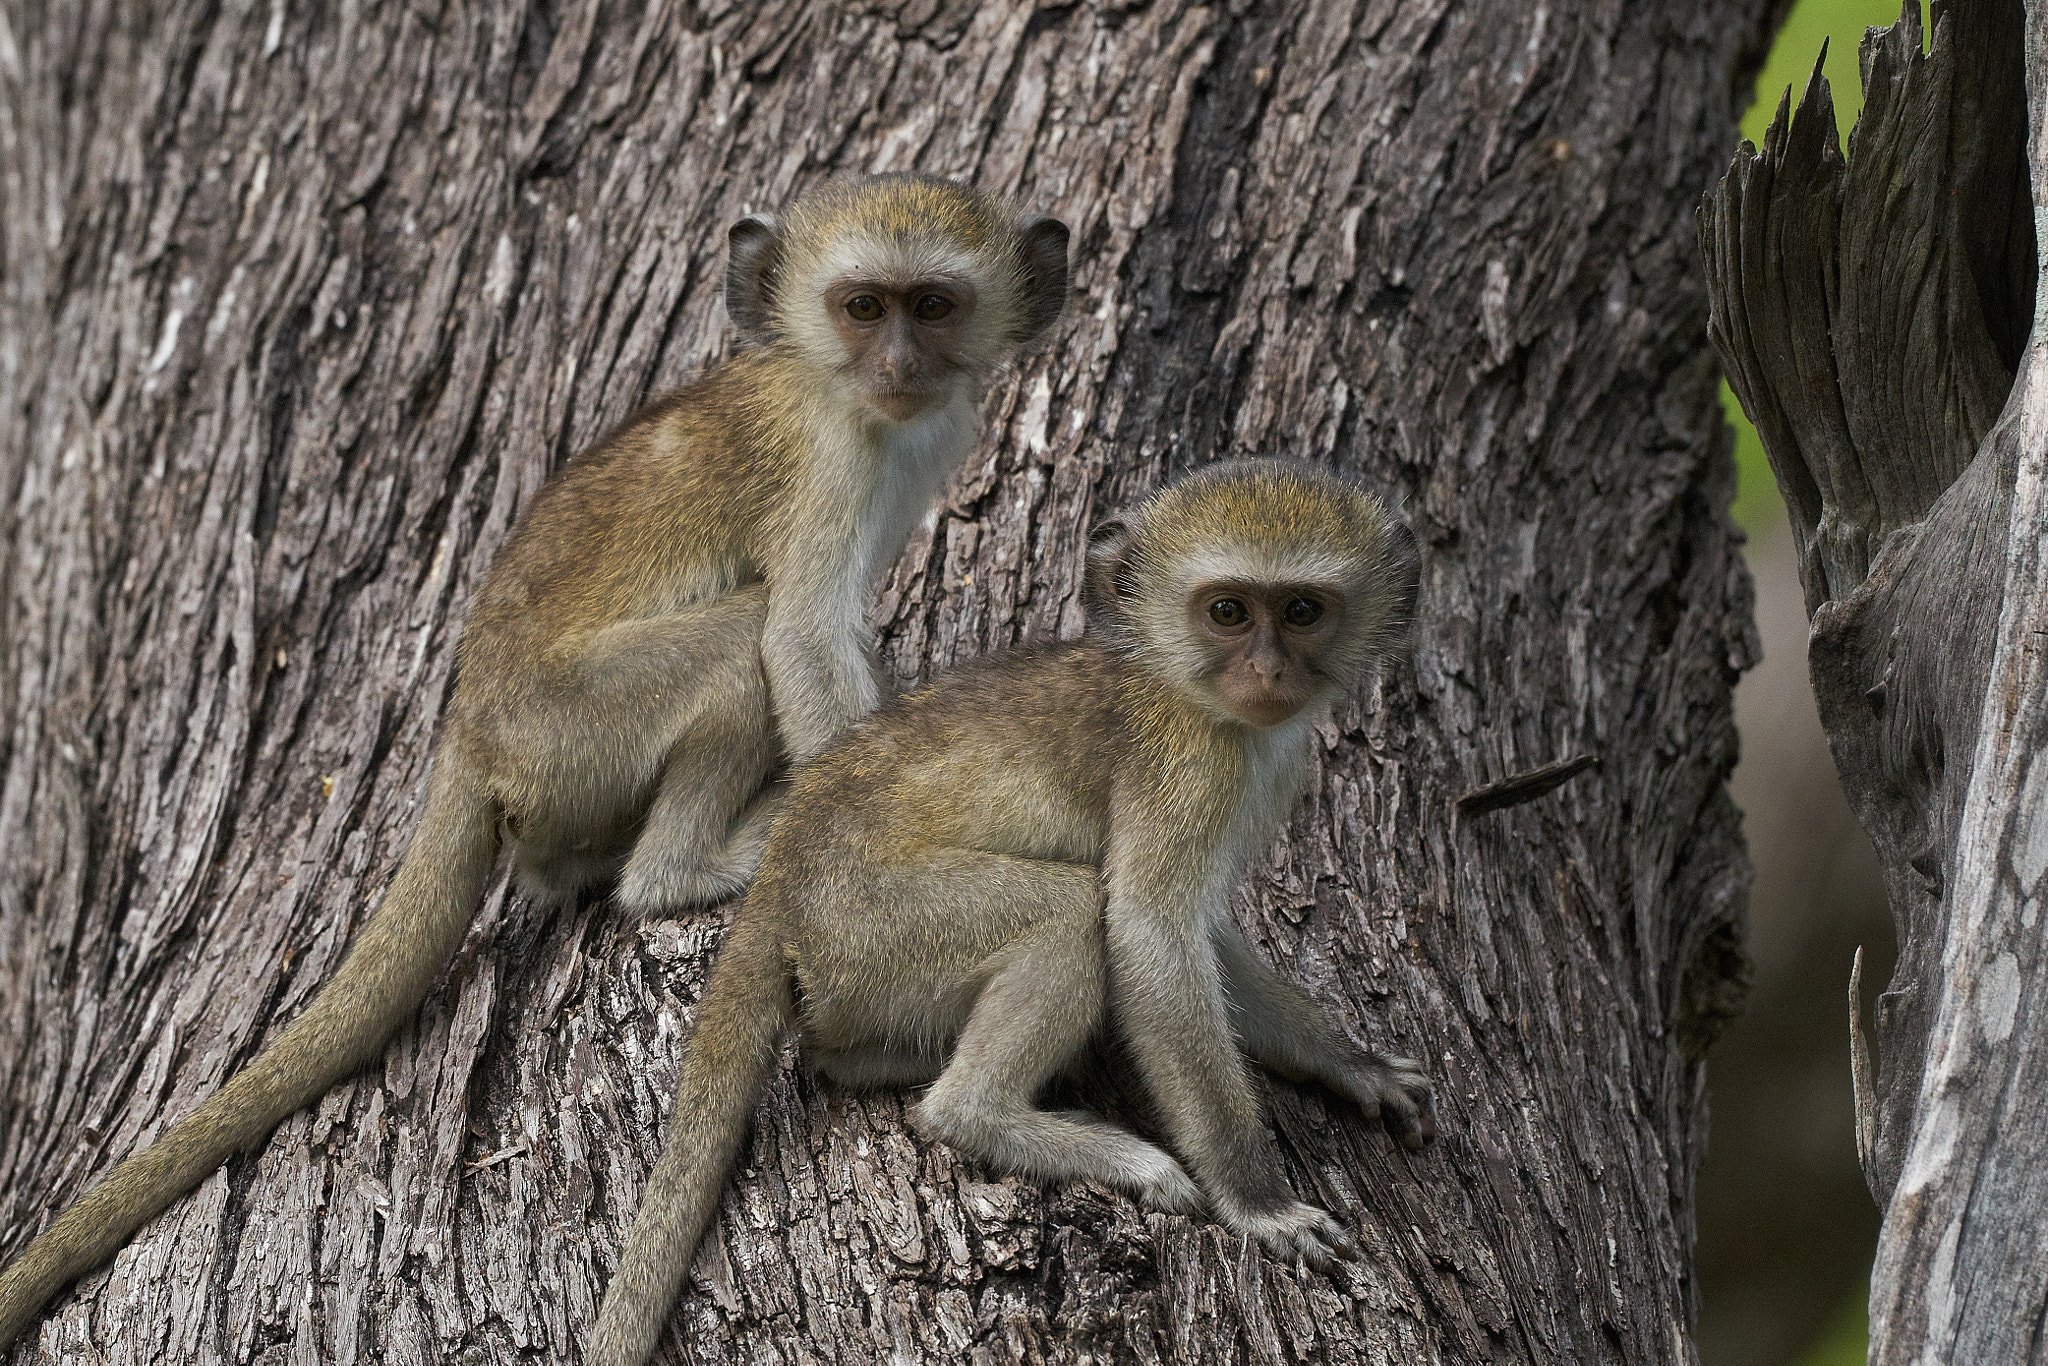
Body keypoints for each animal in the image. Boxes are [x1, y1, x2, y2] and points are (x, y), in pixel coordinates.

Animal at [0, 176, 1081, 1351]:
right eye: (862, 307)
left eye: (931, 306)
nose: (897, 363)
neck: (846, 398)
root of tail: (469, 728)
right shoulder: (827, 465)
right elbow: (797, 638)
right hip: (570, 724)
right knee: (735, 647)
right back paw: (682, 869)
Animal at [585, 458, 1433, 1366]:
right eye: (1229, 612)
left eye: (1303, 611)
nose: (1270, 673)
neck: (1180, 685)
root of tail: (783, 876)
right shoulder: (1190, 763)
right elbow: (1149, 932)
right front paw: (1258, 1201)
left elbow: (1202, 934)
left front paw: (1352, 1065)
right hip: (871, 922)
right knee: (1068, 915)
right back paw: (981, 1114)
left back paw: (866, 1060)